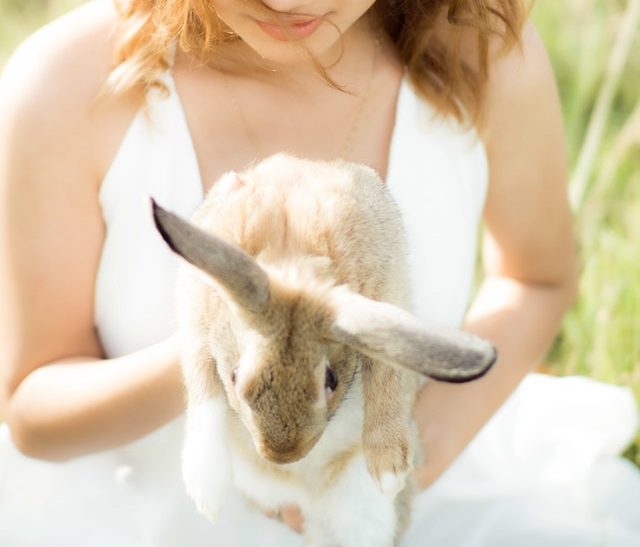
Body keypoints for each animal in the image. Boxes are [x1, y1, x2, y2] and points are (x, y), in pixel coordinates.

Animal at [151, 153, 496, 547]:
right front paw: (206, 491)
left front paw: (389, 471)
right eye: (237, 378)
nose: (282, 455)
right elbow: (202, 389)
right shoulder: (195, 320)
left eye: (331, 381)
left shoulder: (387, 297)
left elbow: (386, 377)